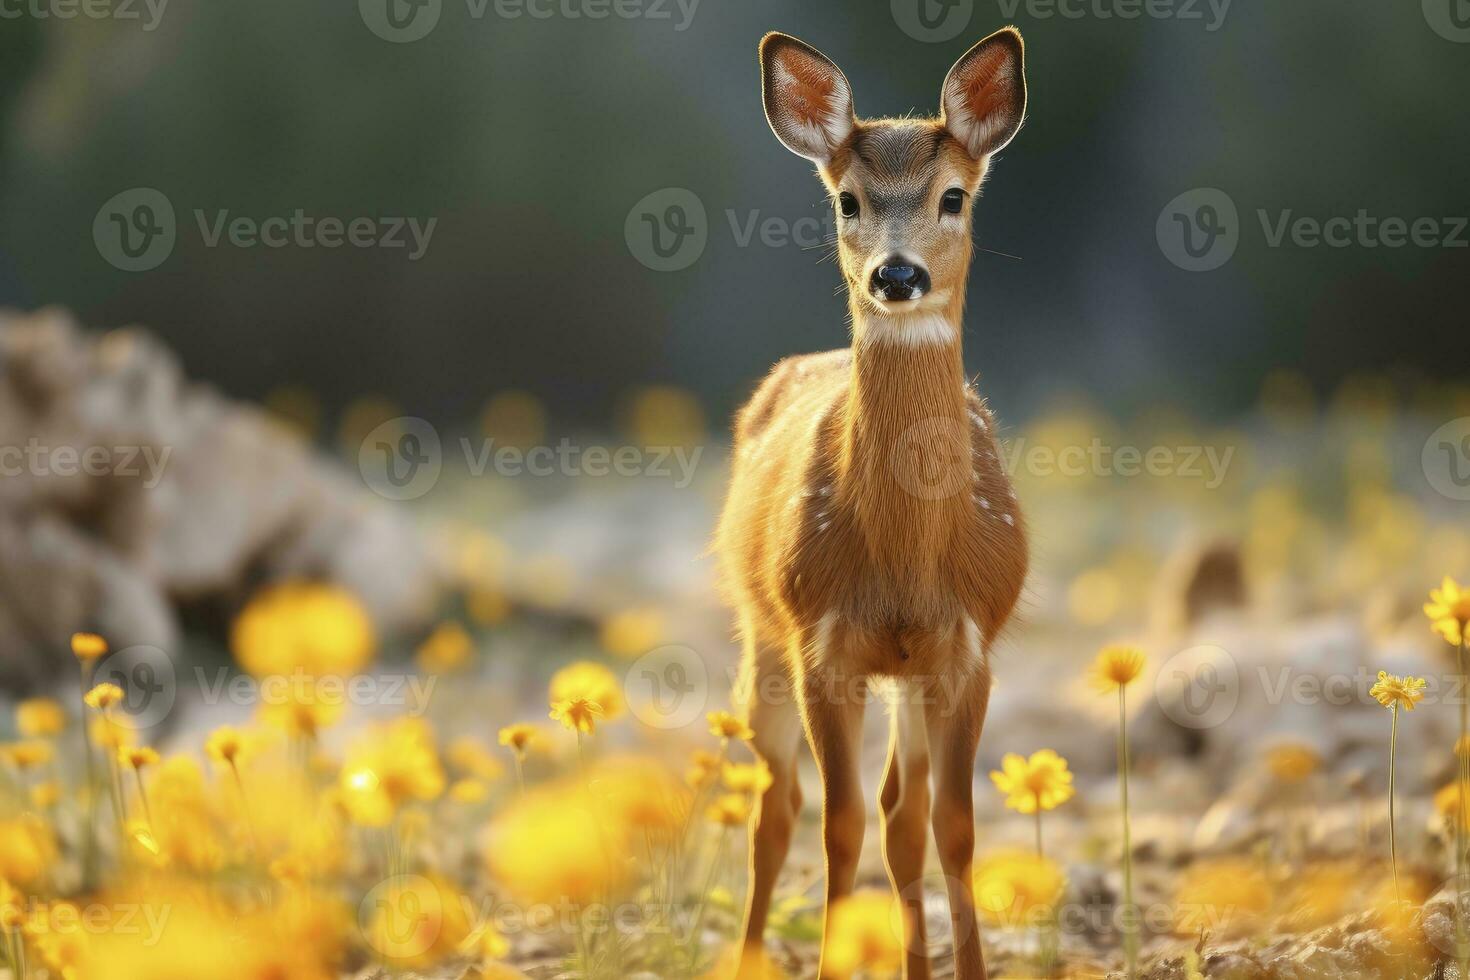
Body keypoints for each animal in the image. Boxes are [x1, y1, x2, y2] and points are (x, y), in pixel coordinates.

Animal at [717, 26, 1029, 975]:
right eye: (848, 201)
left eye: (954, 196)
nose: (897, 274)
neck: (904, 555)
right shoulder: (823, 648)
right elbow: (839, 828)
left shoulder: (965, 649)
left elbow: (952, 829)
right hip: (761, 631)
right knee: (775, 812)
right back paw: (748, 955)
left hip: (908, 674)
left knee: (904, 813)